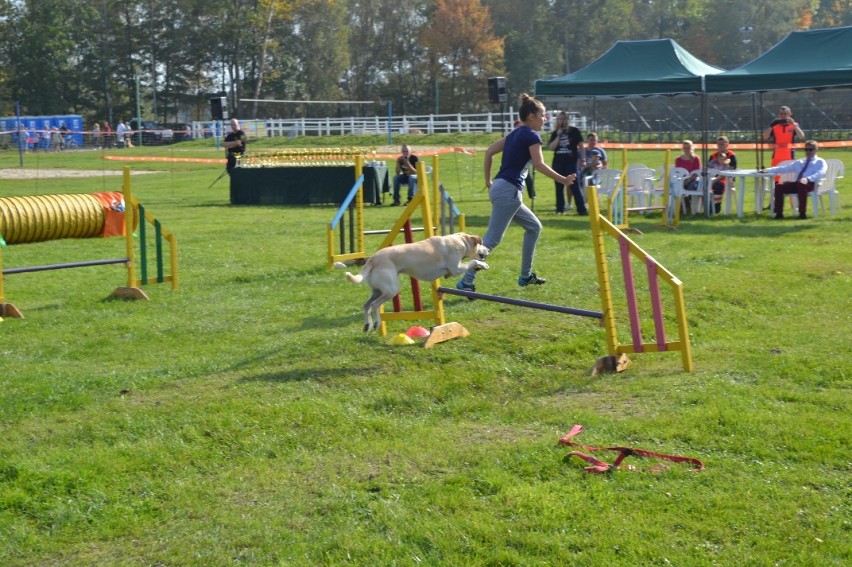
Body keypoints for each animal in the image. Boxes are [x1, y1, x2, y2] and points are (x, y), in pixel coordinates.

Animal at [336, 233, 490, 332]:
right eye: (482, 244)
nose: (488, 250)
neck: (460, 240)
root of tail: (372, 259)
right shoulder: (456, 269)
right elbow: (472, 261)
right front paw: (483, 265)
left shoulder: (449, 273)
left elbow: (470, 264)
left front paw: (479, 266)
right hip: (391, 290)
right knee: (374, 305)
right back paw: (376, 324)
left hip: (377, 290)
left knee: (366, 305)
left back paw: (367, 325)